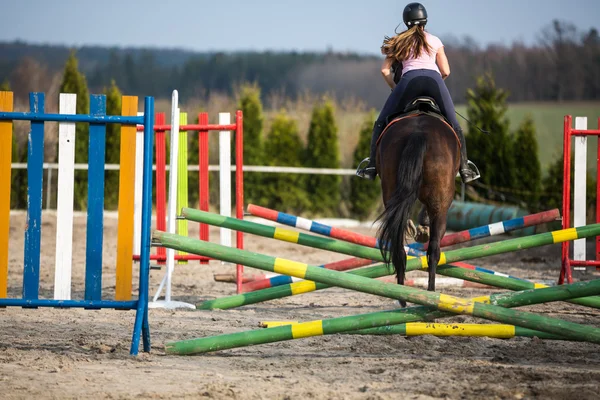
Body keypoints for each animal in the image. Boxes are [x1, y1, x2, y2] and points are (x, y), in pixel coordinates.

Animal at [376, 109, 460, 306]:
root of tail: (418, 133)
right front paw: (423, 227)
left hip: (391, 188)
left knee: (399, 245)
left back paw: (401, 296)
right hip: (441, 205)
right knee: (434, 249)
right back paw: (431, 294)